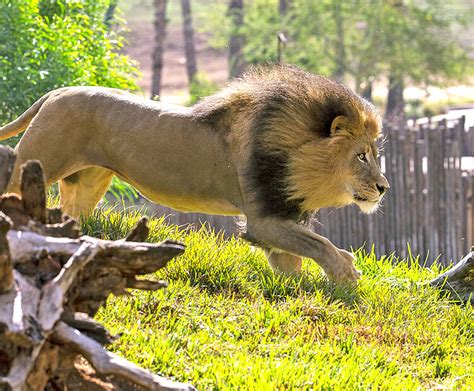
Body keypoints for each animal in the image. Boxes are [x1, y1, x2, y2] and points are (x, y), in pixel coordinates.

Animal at [0, 64, 388, 284]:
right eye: (361, 156)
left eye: (376, 155)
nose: (384, 188)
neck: (296, 155)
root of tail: (57, 91)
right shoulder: (263, 219)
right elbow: (319, 243)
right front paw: (347, 274)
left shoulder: (278, 215)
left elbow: (294, 255)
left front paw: (301, 283)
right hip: (38, 160)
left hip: (88, 182)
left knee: (69, 214)